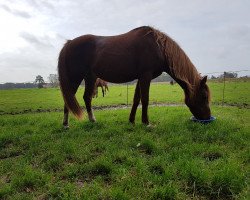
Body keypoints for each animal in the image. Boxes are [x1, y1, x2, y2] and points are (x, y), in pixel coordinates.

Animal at [58, 25, 211, 127]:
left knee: (86, 97)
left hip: (90, 77)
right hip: (75, 77)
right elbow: (145, 99)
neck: (158, 47)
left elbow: (136, 99)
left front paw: (131, 120)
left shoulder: (140, 78)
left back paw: (92, 120)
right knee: (69, 98)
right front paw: (146, 122)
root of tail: (70, 43)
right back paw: (65, 124)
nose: (207, 118)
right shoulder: (146, 76)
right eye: (204, 96)